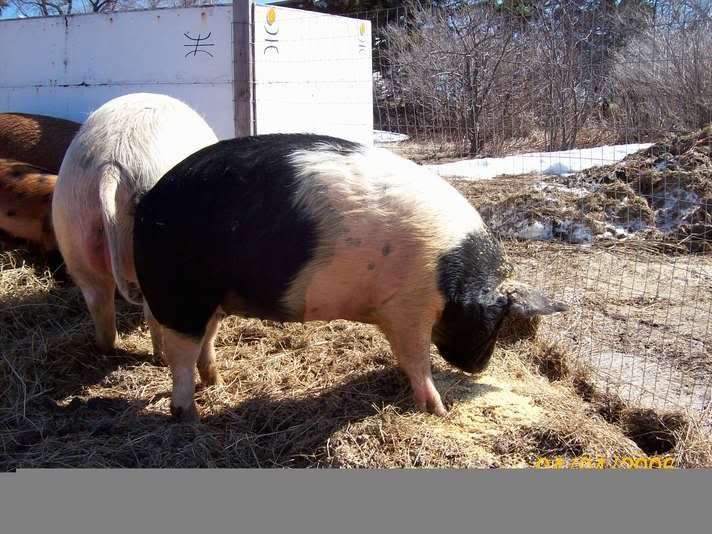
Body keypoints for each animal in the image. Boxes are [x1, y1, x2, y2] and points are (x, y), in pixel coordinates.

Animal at [51, 93, 218, 354]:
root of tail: (111, 165)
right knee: (154, 314)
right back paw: (159, 355)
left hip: (72, 226)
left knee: (97, 301)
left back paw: (109, 347)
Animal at [133, 133, 568, 421]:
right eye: (496, 319)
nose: (479, 369)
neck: (449, 279)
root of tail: (149, 199)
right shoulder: (407, 309)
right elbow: (416, 359)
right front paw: (439, 411)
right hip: (180, 293)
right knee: (181, 354)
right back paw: (189, 417)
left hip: (213, 297)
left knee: (206, 339)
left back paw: (217, 384)